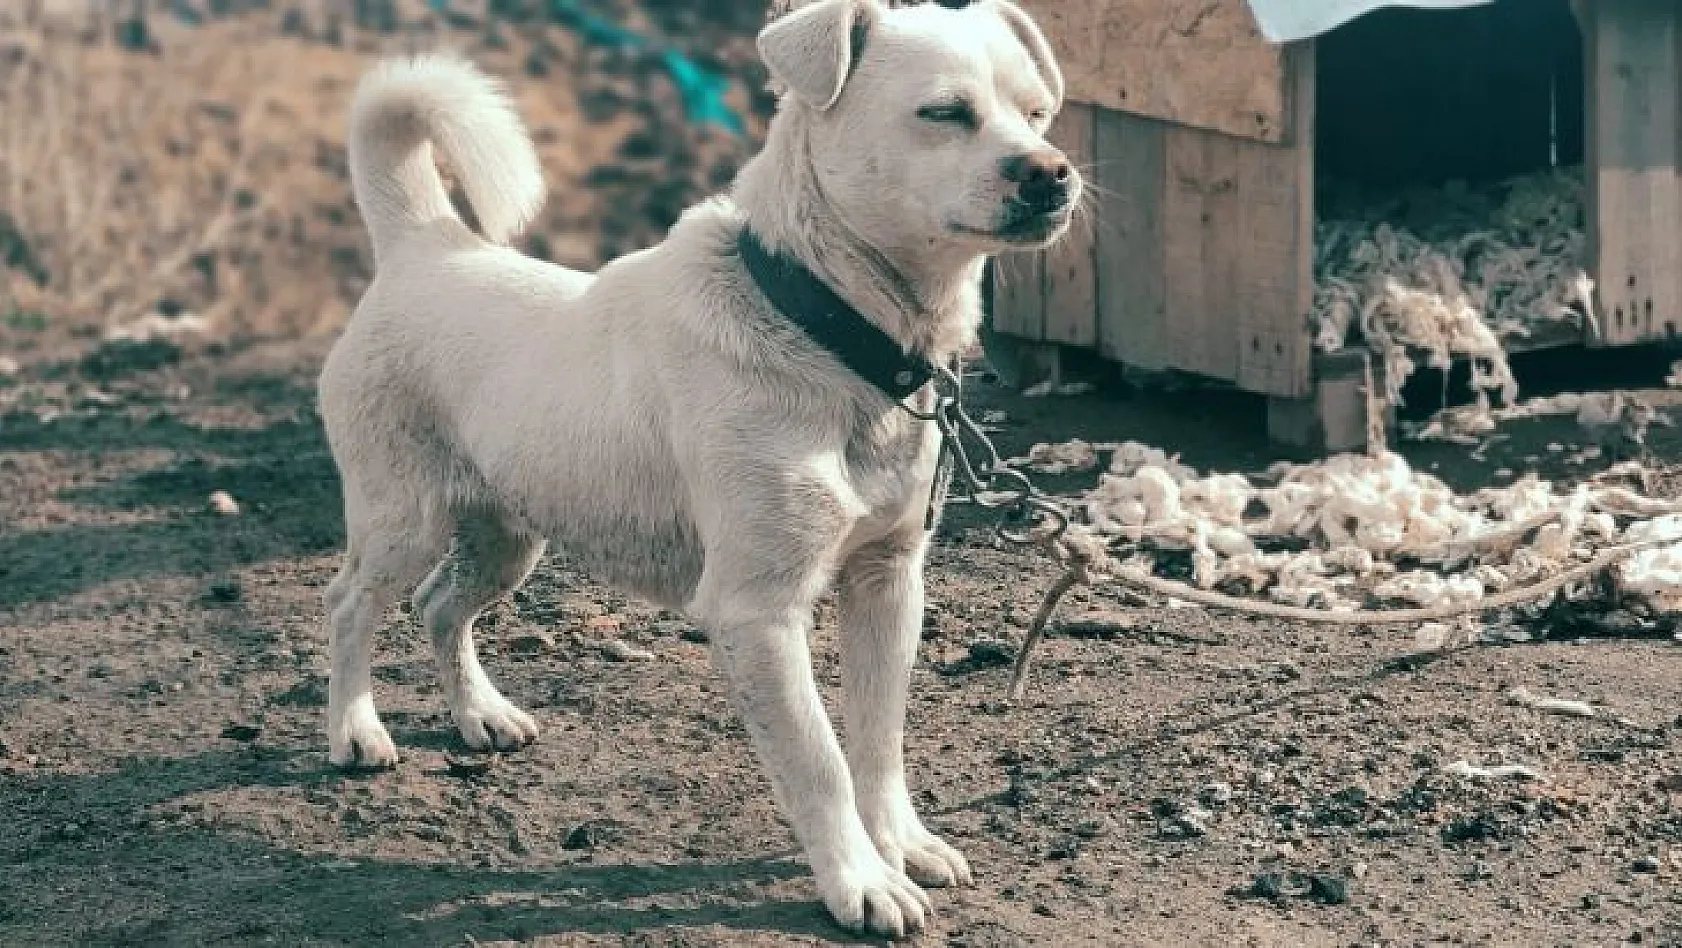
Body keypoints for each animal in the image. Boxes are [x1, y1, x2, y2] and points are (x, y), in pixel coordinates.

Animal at [316, 0, 1076, 934]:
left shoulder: (888, 584)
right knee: (352, 604)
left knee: (439, 607)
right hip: (405, 523)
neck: (822, 328)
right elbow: (820, 761)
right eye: (945, 112)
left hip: (506, 539)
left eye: (1037, 113)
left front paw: (900, 843)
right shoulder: (759, 614)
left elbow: (878, 740)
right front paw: (860, 883)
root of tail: (426, 246)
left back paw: (480, 716)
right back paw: (355, 731)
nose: (1053, 174)